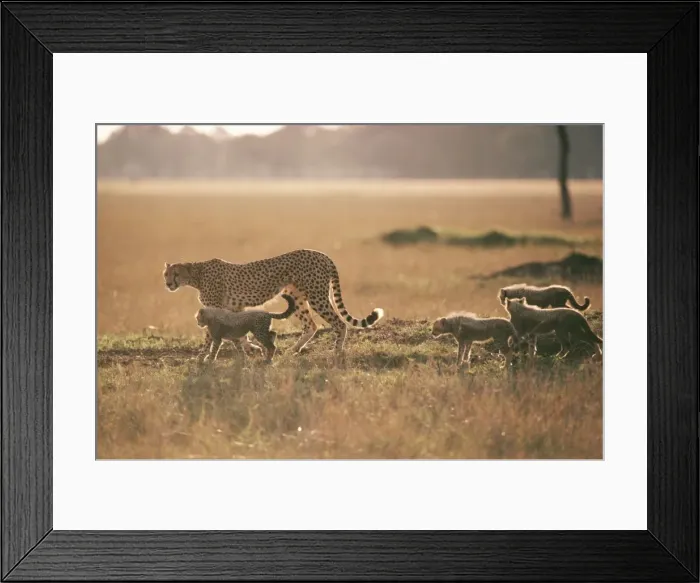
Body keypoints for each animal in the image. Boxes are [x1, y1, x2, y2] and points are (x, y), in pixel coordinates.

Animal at [164, 248, 384, 360]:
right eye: (166, 274)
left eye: (176, 274)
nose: (168, 284)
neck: (196, 275)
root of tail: (321, 253)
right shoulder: (234, 308)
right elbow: (239, 333)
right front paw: (253, 348)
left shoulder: (216, 309)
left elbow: (210, 336)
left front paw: (202, 356)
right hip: (296, 296)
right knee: (311, 325)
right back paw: (293, 350)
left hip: (317, 295)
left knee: (339, 323)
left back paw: (336, 352)